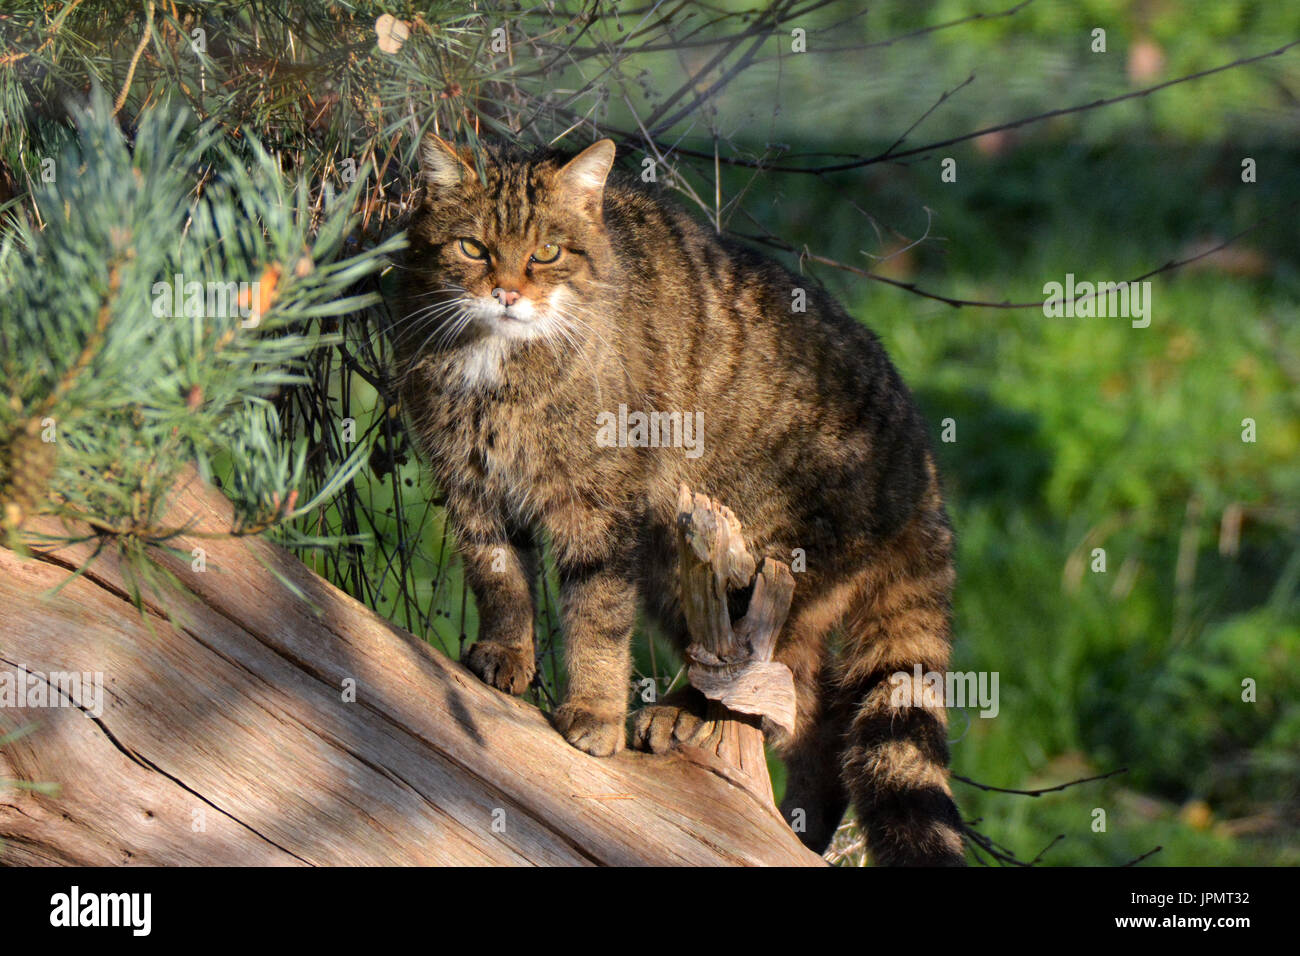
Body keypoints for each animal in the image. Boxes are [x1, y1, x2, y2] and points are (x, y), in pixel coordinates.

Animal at [395, 136, 967, 868]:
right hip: (680, 572)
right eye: (472, 247)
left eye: (547, 252)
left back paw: (686, 714)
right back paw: (800, 832)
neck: (498, 362)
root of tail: (925, 466)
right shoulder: (471, 487)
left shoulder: (599, 509)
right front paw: (507, 651)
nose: (508, 293)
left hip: (766, 568)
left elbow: (599, 616)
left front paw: (596, 713)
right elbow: (499, 576)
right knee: (817, 720)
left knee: (758, 677)